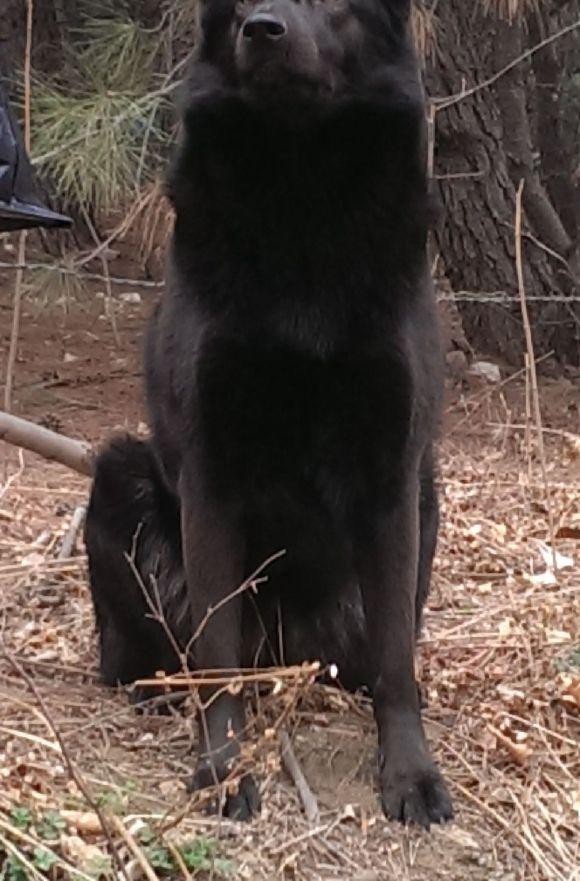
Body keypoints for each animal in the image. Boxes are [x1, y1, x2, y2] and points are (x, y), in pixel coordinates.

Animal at [85, 0, 454, 824]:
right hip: (117, 477)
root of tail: (288, 650)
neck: (299, 190)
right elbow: (217, 653)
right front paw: (223, 768)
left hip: (426, 499)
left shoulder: (394, 477)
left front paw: (410, 773)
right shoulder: (210, 478)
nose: (262, 29)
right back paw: (159, 689)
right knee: (168, 654)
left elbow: (397, 662)